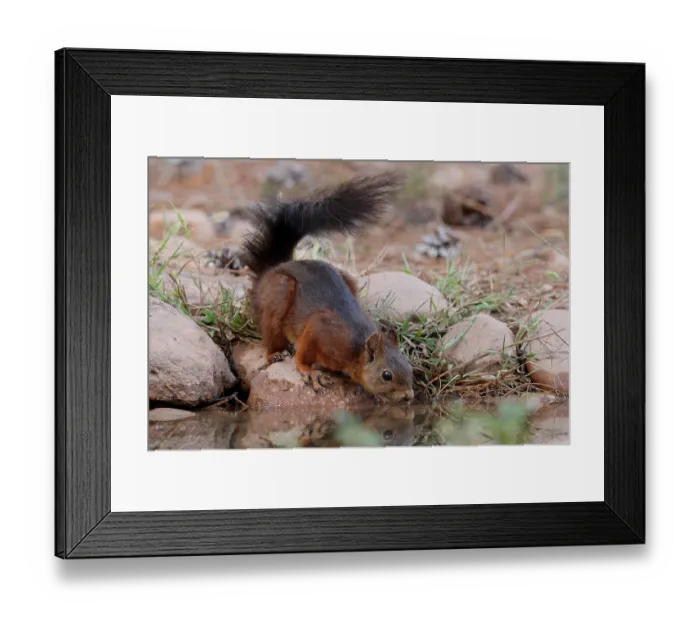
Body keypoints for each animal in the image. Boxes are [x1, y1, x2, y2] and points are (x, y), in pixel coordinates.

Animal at [242, 173, 414, 403]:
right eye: (387, 375)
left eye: (409, 367)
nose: (408, 396)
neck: (355, 349)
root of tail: (274, 268)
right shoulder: (321, 328)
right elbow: (304, 353)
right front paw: (309, 372)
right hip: (280, 291)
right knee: (271, 331)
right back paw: (275, 353)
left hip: (348, 279)